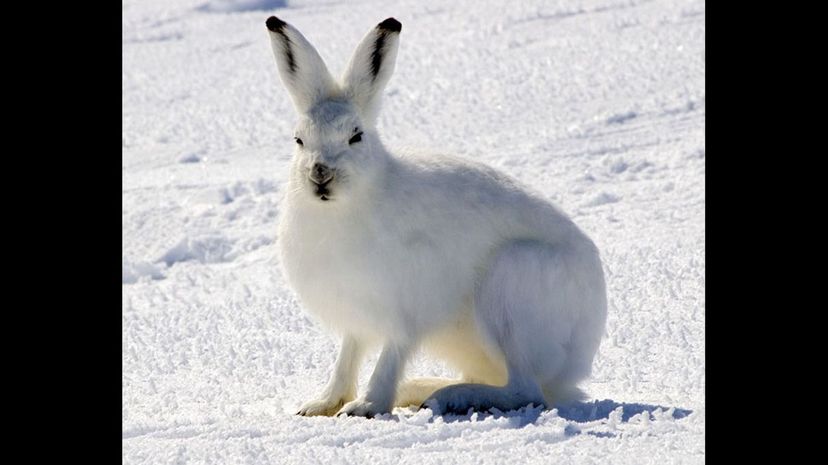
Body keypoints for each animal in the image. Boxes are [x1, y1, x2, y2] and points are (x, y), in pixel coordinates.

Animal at [266, 16, 607, 418]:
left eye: (356, 136)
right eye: (299, 140)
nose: (320, 174)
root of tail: (580, 357)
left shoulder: (407, 308)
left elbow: (390, 356)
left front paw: (367, 405)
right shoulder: (357, 316)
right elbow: (347, 357)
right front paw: (321, 404)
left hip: (511, 285)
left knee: (526, 390)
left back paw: (451, 397)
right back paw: (422, 389)